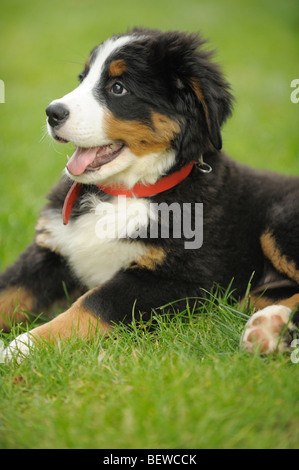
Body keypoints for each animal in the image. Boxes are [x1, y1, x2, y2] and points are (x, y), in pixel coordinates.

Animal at [0, 27, 299, 362]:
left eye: (118, 88)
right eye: (83, 78)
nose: (52, 112)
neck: (124, 192)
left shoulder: (179, 278)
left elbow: (92, 304)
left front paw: (23, 347)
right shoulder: (49, 252)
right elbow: (9, 291)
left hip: (281, 220)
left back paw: (269, 327)